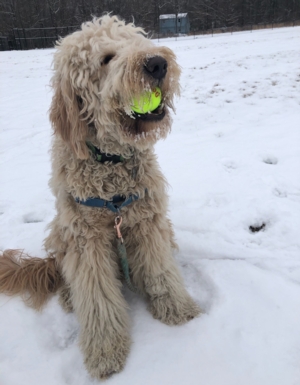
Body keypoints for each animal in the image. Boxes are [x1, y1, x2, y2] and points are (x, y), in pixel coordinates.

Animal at [0, 14, 202, 378]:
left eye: (138, 42)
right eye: (106, 58)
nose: (157, 63)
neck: (112, 166)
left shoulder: (148, 221)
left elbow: (161, 270)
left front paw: (178, 310)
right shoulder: (85, 239)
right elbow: (96, 298)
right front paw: (106, 351)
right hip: (60, 231)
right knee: (65, 272)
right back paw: (69, 296)